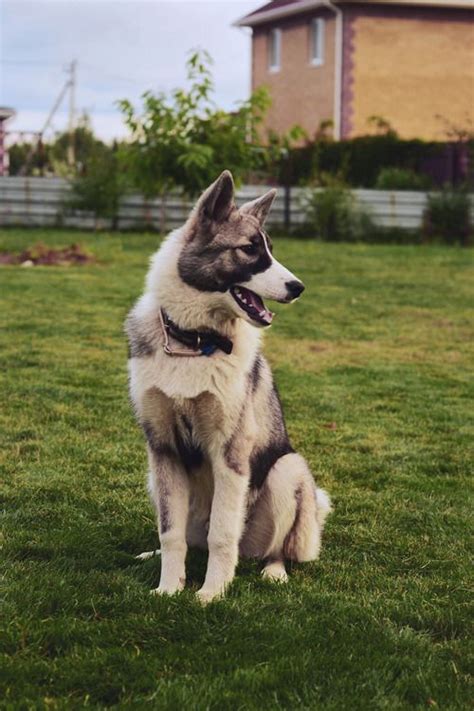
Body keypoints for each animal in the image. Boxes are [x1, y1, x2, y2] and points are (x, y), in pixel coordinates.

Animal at [127, 171, 334, 600]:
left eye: (270, 250)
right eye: (249, 250)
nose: (298, 287)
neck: (194, 343)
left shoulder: (230, 453)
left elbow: (223, 535)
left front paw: (211, 594)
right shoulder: (163, 450)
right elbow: (170, 533)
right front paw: (169, 588)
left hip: (287, 471)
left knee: (270, 549)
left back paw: (274, 571)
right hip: (154, 477)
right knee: (190, 540)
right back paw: (153, 555)